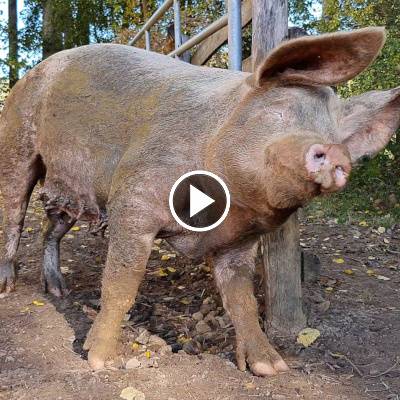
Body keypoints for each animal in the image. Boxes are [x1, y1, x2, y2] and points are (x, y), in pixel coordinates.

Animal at [0, 27, 400, 376]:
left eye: (337, 136)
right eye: (280, 110)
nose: (333, 150)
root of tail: (31, 73)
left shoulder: (239, 243)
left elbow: (243, 300)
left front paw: (272, 368)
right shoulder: (134, 197)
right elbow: (121, 283)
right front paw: (101, 362)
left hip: (71, 190)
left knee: (50, 230)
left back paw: (58, 289)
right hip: (17, 141)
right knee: (14, 214)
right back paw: (8, 287)